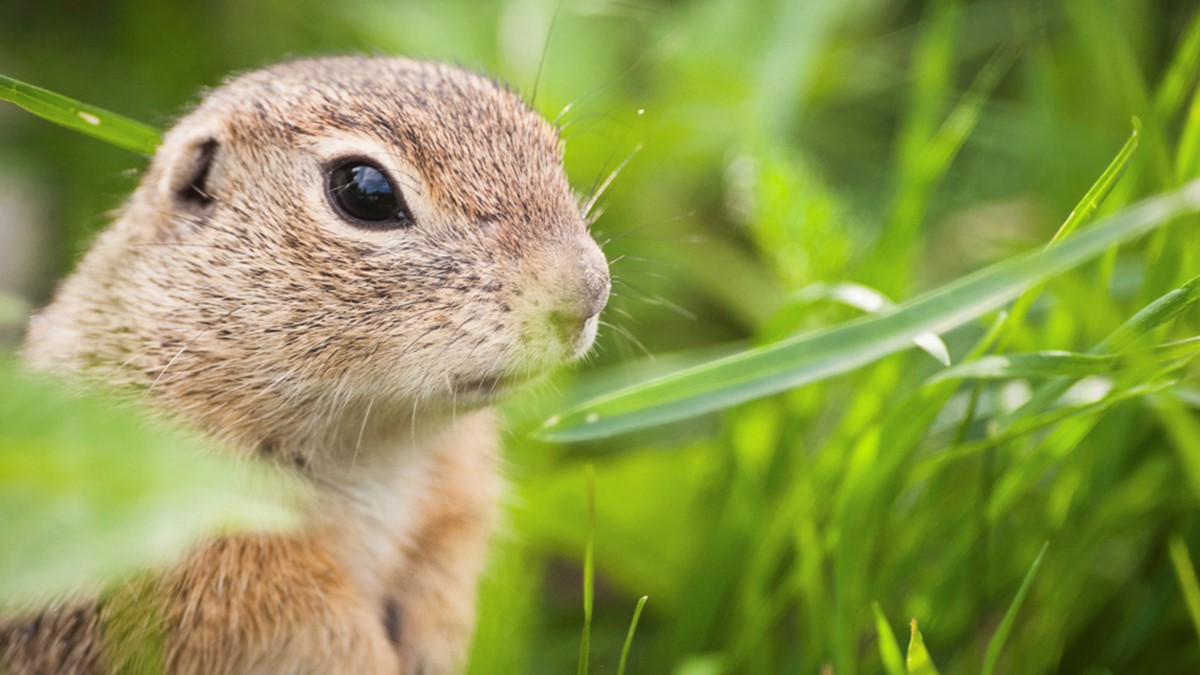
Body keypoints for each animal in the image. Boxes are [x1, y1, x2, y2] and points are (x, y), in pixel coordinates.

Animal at [2, 56, 609, 672]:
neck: (377, 447)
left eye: (548, 146)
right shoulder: (212, 553)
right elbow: (315, 630)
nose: (588, 293)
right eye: (365, 191)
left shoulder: (455, 505)